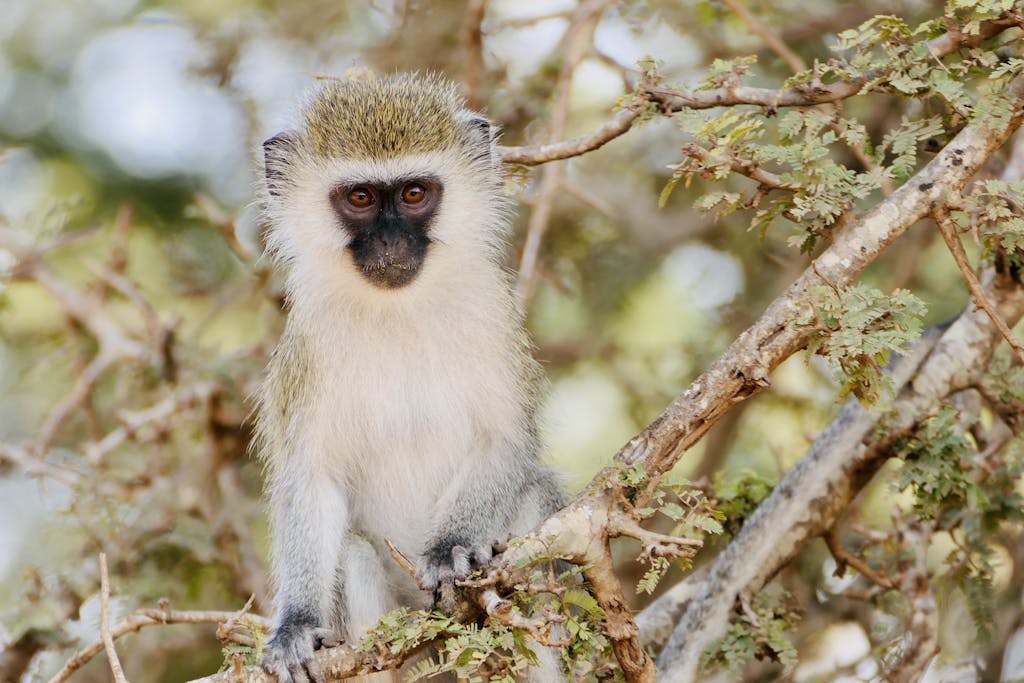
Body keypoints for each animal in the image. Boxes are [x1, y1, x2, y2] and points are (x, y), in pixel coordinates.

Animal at [254, 74, 567, 683]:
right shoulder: (310, 348)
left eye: (415, 194)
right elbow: (312, 479)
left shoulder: (494, 319)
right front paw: (296, 623)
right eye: (360, 198)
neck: (398, 310)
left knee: (534, 494)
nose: (391, 245)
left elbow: (505, 440)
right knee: (352, 554)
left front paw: (452, 548)